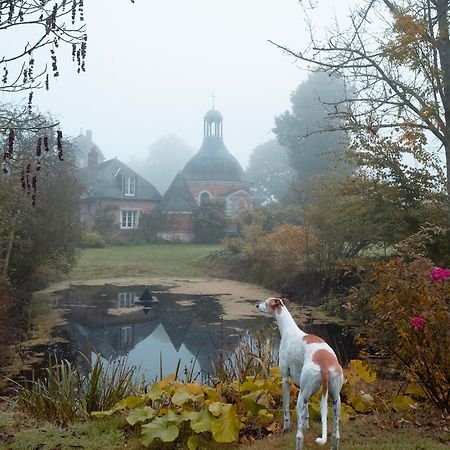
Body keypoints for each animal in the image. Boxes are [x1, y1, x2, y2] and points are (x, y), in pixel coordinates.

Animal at [256, 298, 344, 450]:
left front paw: (285, 427)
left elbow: (285, 407)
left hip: (301, 398)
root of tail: (325, 364)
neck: (289, 330)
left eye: (266, 302)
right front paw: (307, 425)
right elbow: (306, 413)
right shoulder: (302, 387)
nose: (256, 305)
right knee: (336, 434)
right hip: (334, 399)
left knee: (299, 436)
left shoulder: (285, 379)